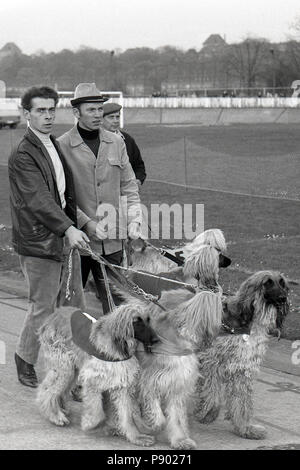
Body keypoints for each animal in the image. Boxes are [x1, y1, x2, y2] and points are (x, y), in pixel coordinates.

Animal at [37, 306, 157, 446]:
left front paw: (136, 437)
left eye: (148, 320)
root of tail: (55, 313)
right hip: (64, 367)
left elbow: (126, 415)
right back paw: (55, 415)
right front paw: (90, 424)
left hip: (72, 369)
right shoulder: (92, 380)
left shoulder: (121, 384)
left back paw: (61, 409)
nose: (156, 340)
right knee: (47, 391)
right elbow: (98, 414)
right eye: (137, 322)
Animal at [193, 270, 290, 438]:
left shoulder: (242, 368)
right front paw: (207, 413)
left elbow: (242, 402)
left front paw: (246, 428)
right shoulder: (211, 361)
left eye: (282, 282)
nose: (283, 298)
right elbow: (212, 393)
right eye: (267, 282)